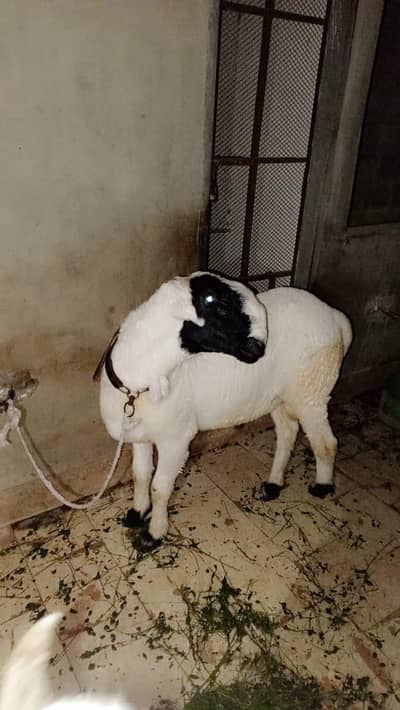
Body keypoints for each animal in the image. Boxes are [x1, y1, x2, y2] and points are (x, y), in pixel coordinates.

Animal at [98, 280, 352, 549]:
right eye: (218, 304)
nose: (259, 347)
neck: (138, 384)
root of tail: (335, 316)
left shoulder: (175, 440)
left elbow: (160, 488)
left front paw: (153, 534)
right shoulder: (141, 435)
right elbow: (140, 474)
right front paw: (137, 513)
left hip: (312, 391)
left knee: (326, 444)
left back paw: (322, 487)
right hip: (281, 397)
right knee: (287, 434)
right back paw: (273, 485)